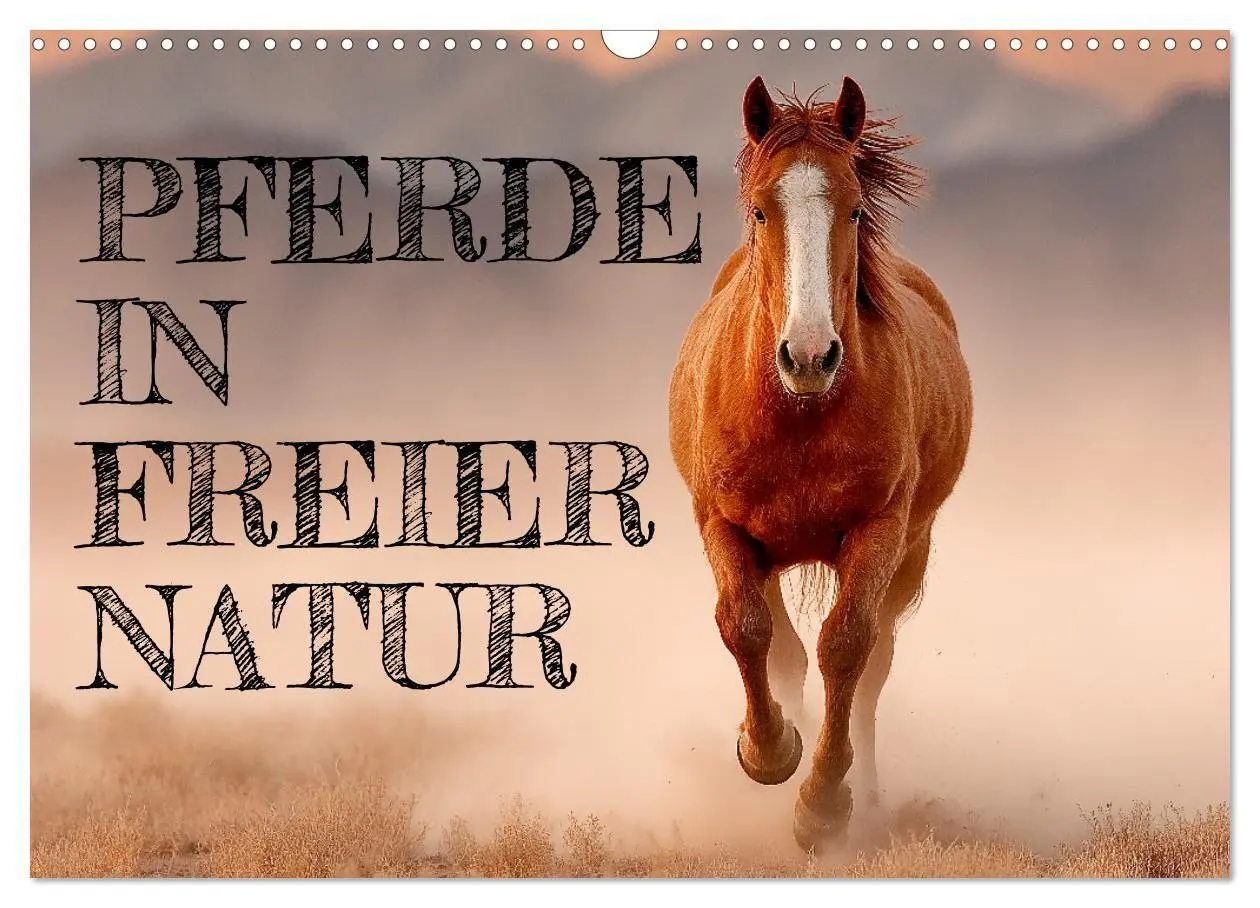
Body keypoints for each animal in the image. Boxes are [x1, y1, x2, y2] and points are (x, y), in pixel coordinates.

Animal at [668, 76, 973, 851]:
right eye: (759, 208)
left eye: (855, 206)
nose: (809, 355)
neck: (799, 413)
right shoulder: (723, 525)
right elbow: (748, 630)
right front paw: (769, 751)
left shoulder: (880, 530)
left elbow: (846, 649)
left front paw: (823, 804)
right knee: (782, 651)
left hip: (911, 551)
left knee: (871, 667)